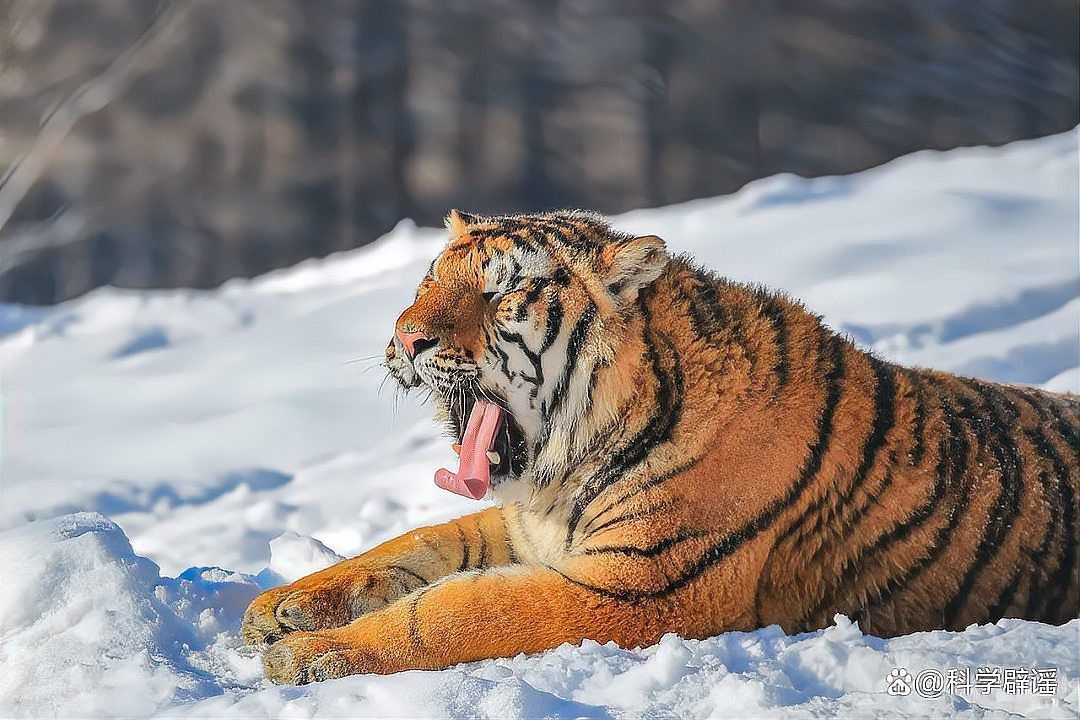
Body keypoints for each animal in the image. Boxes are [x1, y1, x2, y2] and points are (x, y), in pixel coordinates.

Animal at [242, 209, 1080, 685]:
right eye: (428, 280)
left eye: (501, 291)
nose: (405, 336)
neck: (564, 467)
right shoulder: (526, 529)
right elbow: (415, 546)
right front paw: (280, 607)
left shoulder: (637, 588)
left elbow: (458, 612)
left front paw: (312, 654)